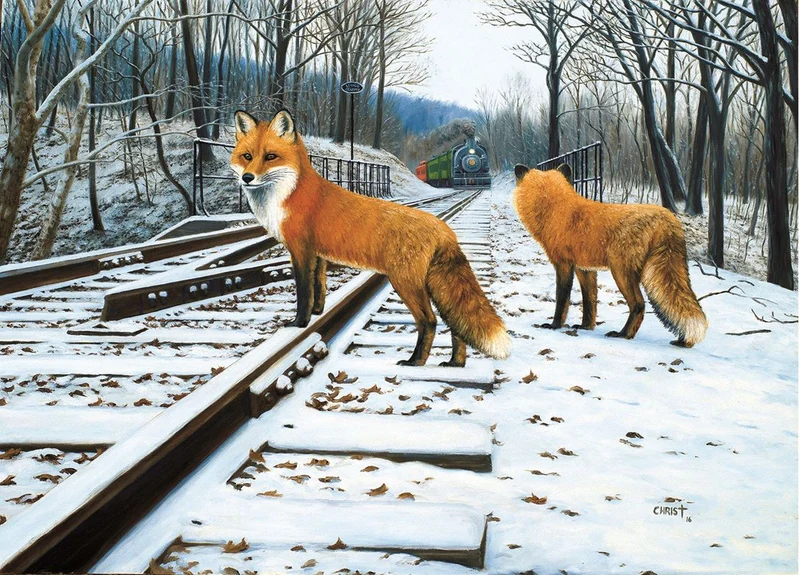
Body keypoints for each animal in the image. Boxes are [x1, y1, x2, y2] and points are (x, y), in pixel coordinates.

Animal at [230, 109, 511, 366]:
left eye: (270, 156)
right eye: (247, 156)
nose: (247, 178)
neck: (288, 193)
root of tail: (443, 227)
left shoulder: (301, 251)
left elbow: (303, 293)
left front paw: (299, 323)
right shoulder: (317, 256)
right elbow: (319, 289)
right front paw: (318, 313)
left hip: (405, 282)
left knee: (429, 321)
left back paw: (415, 362)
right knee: (454, 324)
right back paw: (455, 363)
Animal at [512, 163, 707, 347]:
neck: (554, 209)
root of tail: (668, 217)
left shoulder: (564, 264)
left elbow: (562, 299)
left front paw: (554, 325)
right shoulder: (585, 269)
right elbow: (590, 302)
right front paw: (586, 327)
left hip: (621, 272)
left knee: (639, 304)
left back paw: (623, 334)